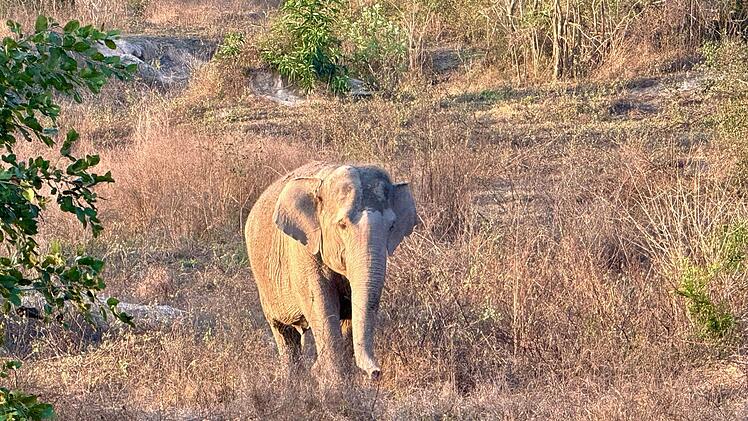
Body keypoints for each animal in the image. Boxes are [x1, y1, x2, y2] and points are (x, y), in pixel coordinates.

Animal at [245, 162, 417, 381]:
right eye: (342, 225)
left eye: (392, 226)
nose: (376, 373)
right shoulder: (303, 252)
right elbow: (322, 305)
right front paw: (332, 381)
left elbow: (351, 313)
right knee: (284, 333)